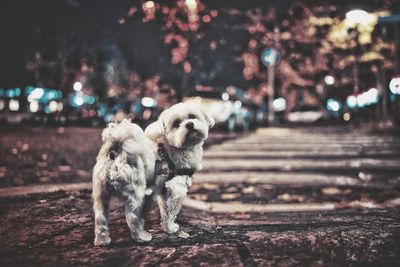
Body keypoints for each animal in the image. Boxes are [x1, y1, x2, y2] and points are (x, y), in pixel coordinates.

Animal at [92, 103, 214, 247]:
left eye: (192, 116)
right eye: (176, 123)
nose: (189, 124)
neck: (173, 149)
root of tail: (115, 152)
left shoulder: (163, 190)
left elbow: (165, 210)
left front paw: (165, 227)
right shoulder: (176, 189)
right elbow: (172, 211)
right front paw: (171, 228)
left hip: (101, 194)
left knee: (100, 218)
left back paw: (102, 240)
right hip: (136, 193)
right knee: (132, 217)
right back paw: (142, 236)